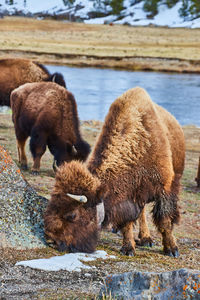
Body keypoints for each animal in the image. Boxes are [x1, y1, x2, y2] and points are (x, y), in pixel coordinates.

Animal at [44, 86, 185, 258]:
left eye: (72, 215)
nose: (50, 240)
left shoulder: (164, 189)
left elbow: (164, 220)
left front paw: (172, 249)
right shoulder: (128, 197)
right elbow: (127, 223)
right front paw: (128, 248)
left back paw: (148, 240)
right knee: (142, 213)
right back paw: (142, 237)